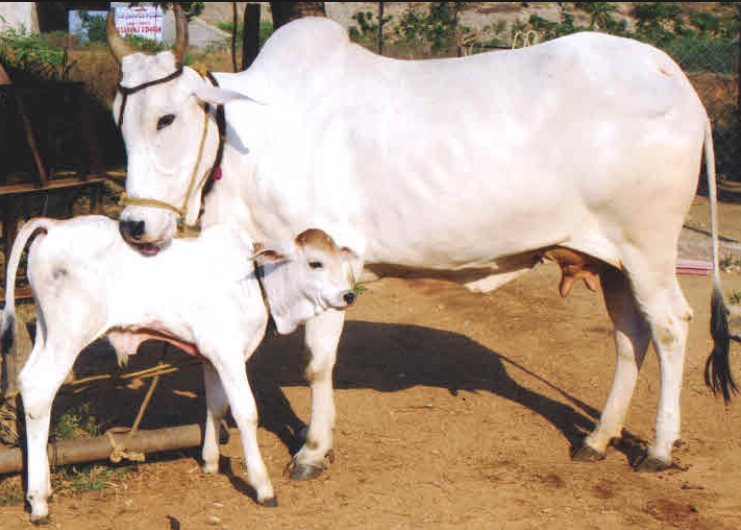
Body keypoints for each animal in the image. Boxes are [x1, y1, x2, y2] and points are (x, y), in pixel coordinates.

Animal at [0, 215, 360, 524]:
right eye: (315, 262)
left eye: (342, 262)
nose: (348, 295)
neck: (256, 282)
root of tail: (54, 225)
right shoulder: (229, 354)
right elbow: (246, 412)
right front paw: (263, 487)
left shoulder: (211, 356)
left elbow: (216, 405)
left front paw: (210, 461)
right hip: (69, 335)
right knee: (39, 392)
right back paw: (39, 502)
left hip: (47, 332)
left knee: (27, 383)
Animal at [105, 8, 734, 483]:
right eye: (119, 120)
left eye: (166, 118)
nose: (134, 226)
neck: (249, 142)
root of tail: (666, 69)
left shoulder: (327, 256)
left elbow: (317, 362)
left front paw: (313, 450)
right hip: (611, 261)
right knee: (630, 338)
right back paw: (599, 437)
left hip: (648, 248)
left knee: (671, 327)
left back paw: (658, 448)